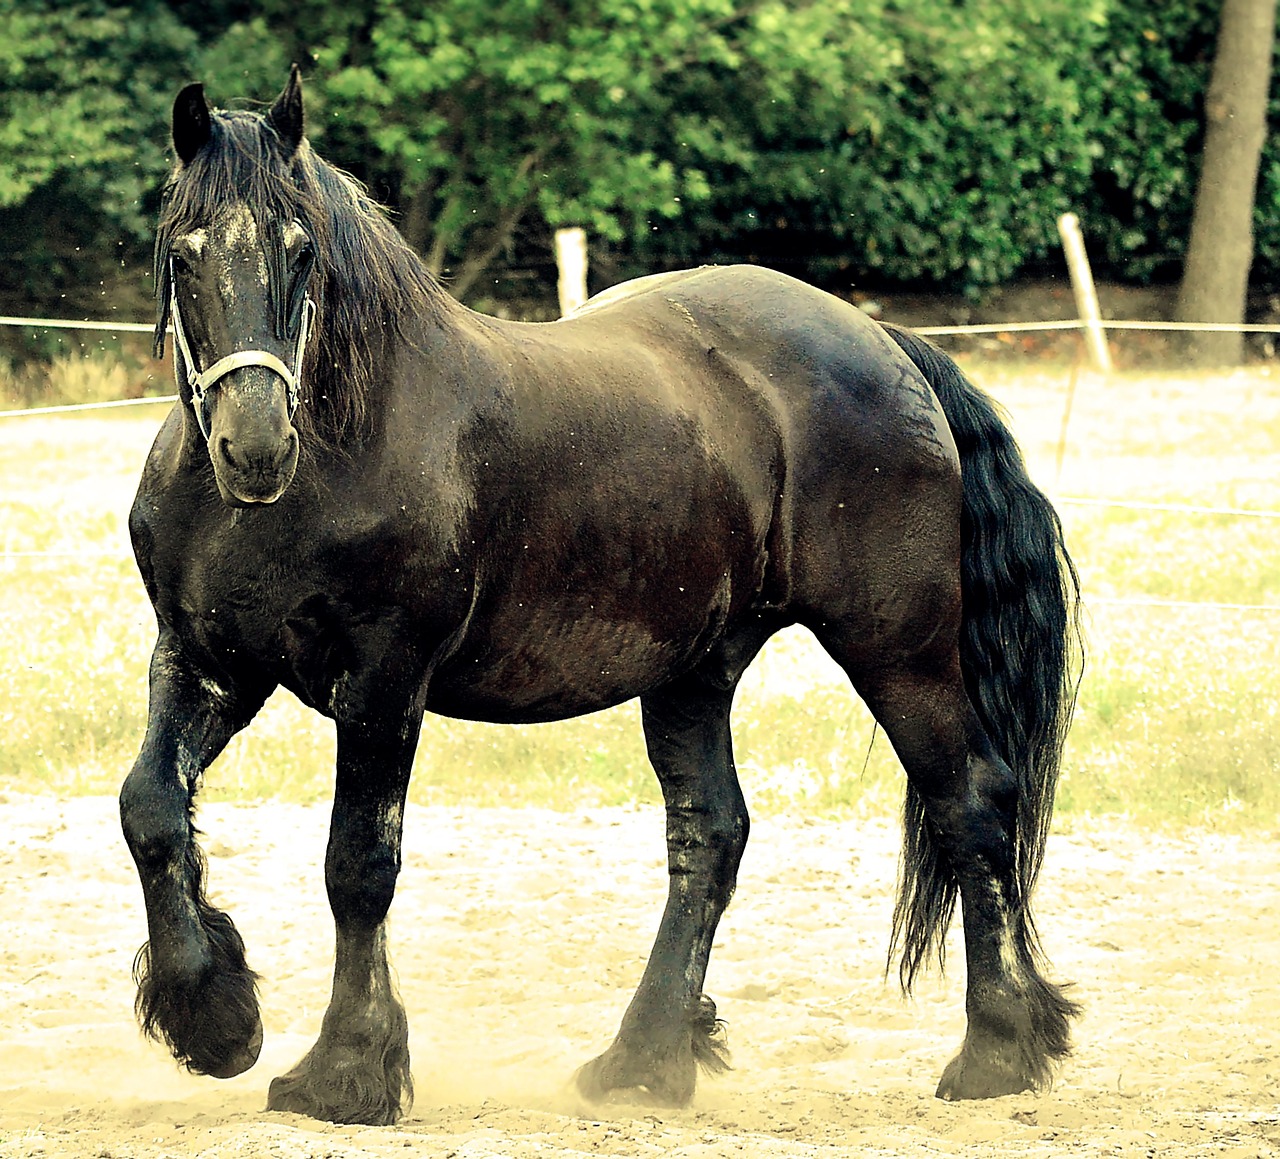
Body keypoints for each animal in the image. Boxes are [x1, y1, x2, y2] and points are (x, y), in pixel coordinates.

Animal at [117, 70, 1080, 1121]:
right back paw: (644, 1058)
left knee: (970, 801)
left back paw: (995, 1051)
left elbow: (357, 865)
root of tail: (885, 343)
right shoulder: (208, 662)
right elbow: (149, 806)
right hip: (699, 666)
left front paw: (345, 1069)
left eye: (301, 250)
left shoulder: (382, 681)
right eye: (183, 252)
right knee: (711, 836)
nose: (254, 446)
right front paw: (213, 1018)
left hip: (898, 648)